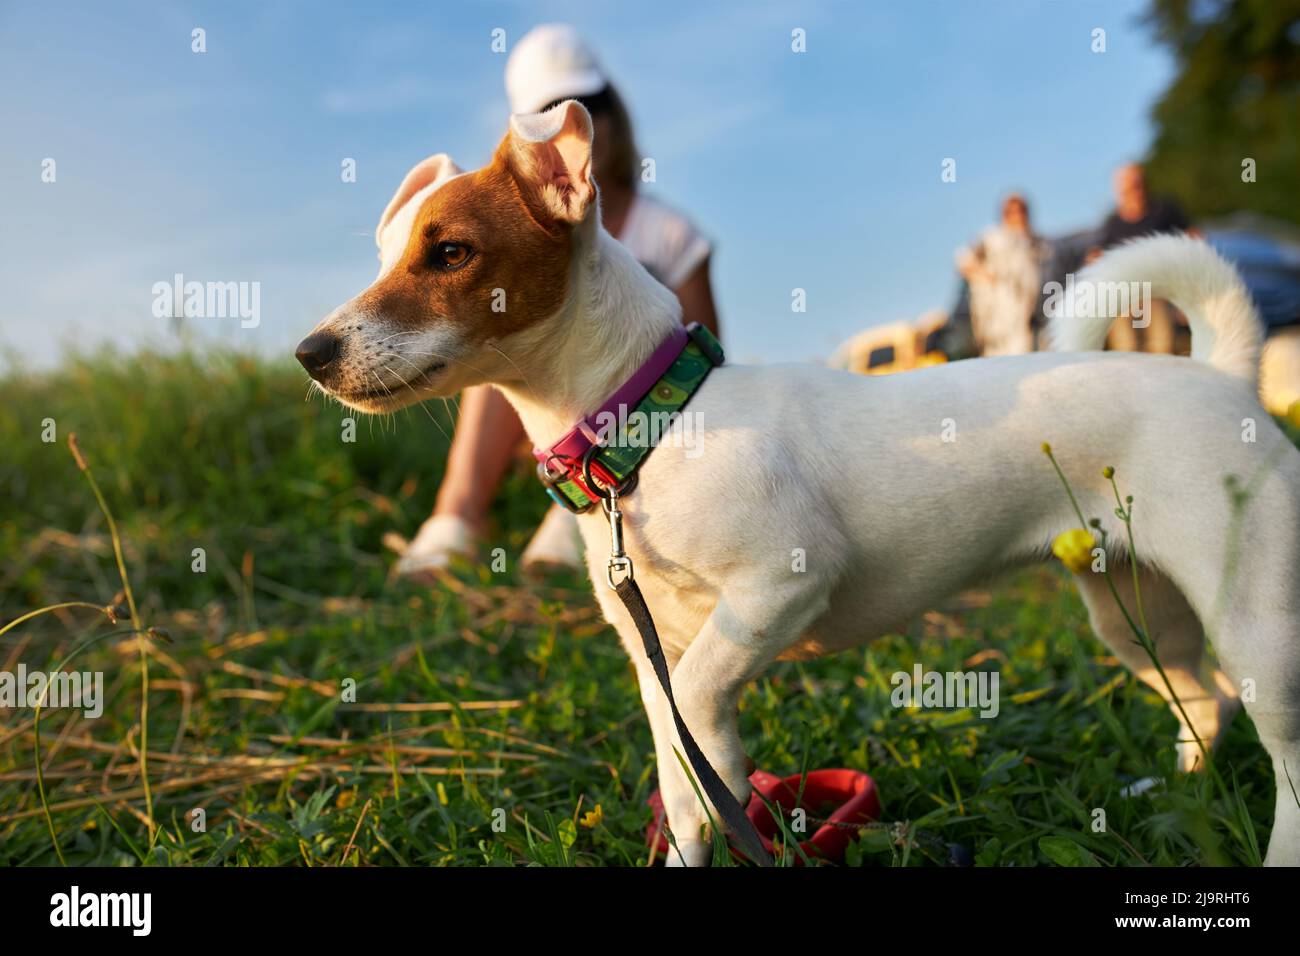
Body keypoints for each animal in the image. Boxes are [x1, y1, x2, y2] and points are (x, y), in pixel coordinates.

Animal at [297, 102, 1300, 868]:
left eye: (450, 253)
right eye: (386, 253)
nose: (310, 353)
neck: (655, 425)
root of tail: (1225, 372)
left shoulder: (780, 588)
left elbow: (704, 719)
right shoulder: (658, 661)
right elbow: (689, 786)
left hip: (1252, 623)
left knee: (1281, 747)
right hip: (1133, 606)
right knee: (1202, 699)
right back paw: (1177, 793)